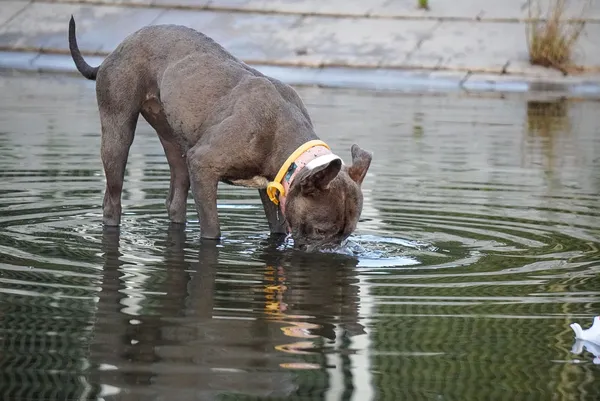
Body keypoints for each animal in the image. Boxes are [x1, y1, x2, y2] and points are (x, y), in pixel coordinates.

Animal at [69, 16, 370, 250]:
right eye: (321, 231)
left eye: (348, 233)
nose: (333, 251)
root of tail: (118, 47)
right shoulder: (204, 166)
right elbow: (212, 228)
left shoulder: (271, 190)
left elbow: (278, 228)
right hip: (118, 133)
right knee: (113, 198)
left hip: (176, 144)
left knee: (175, 196)